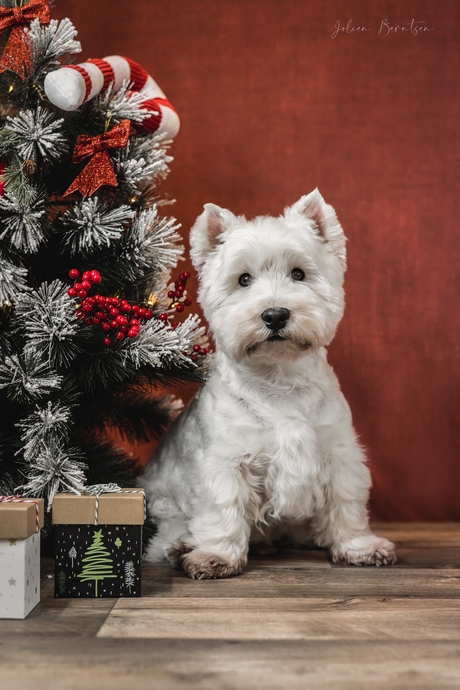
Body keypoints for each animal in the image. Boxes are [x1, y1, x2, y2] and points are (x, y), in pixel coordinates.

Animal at [143, 188, 396, 576]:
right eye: (243, 279)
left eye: (299, 273)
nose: (275, 315)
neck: (280, 378)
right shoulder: (225, 462)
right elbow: (223, 507)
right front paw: (216, 555)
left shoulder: (339, 453)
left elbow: (346, 502)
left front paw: (359, 546)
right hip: (162, 503)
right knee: (162, 538)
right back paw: (180, 547)